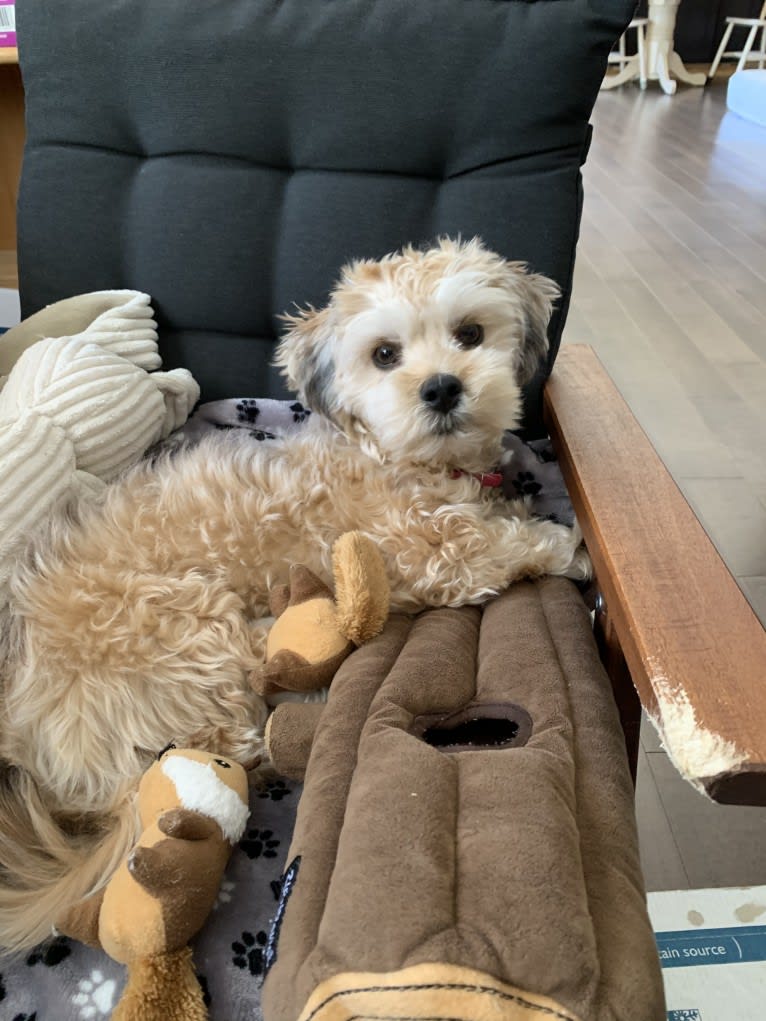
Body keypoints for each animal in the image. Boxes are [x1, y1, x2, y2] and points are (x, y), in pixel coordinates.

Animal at [0, 236, 588, 947]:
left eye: (470, 334)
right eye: (384, 354)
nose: (443, 386)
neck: (401, 457)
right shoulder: (431, 555)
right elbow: (509, 544)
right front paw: (569, 545)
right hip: (187, 629)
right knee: (246, 736)